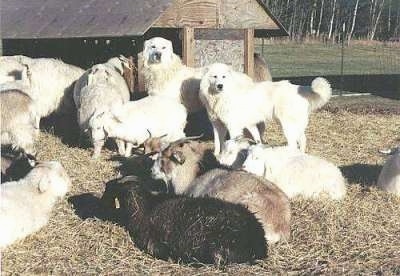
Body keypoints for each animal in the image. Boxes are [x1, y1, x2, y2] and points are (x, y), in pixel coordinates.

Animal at [200, 63, 332, 155]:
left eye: (224, 77)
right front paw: (216, 155)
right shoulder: (218, 125)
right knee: (302, 140)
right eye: (215, 76)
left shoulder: (233, 126)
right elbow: (218, 143)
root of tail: (302, 88)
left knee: (293, 144)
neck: (220, 96)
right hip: (294, 125)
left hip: (287, 125)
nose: (220, 86)